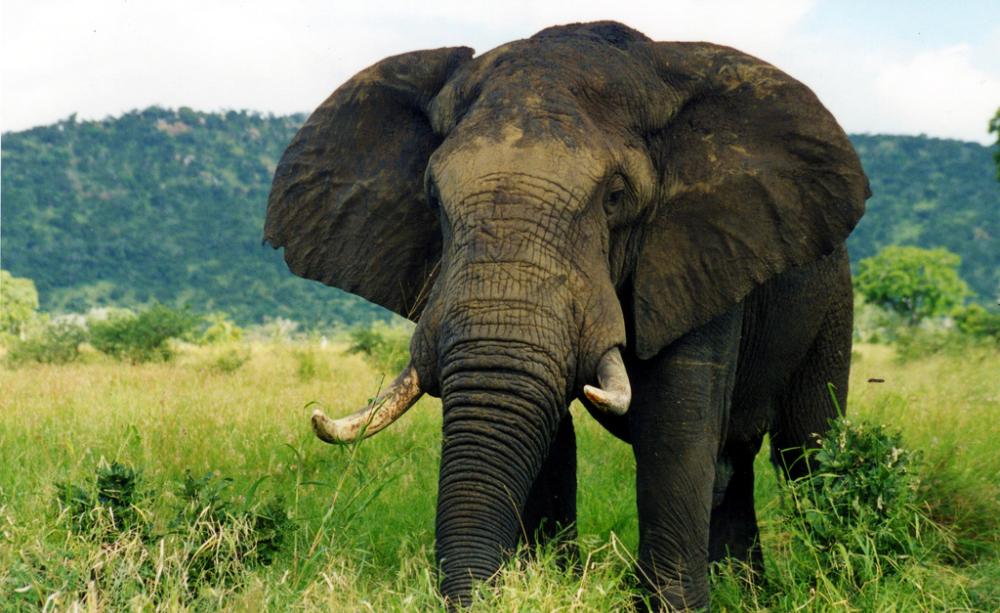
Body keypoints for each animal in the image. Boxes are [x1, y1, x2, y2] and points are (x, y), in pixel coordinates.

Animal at [264, 21, 869, 610]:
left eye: (615, 197)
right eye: (433, 198)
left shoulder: (700, 248)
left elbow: (676, 423)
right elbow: (544, 431)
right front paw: (546, 582)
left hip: (832, 302)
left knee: (806, 449)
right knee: (735, 467)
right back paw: (749, 594)